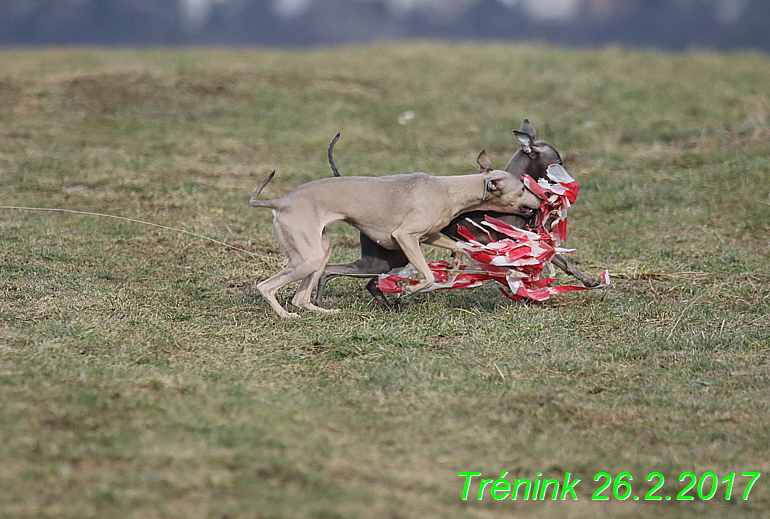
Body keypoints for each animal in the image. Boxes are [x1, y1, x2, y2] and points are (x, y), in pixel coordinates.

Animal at [249, 152, 536, 318]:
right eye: (522, 188)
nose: (540, 199)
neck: (449, 190)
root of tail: (279, 202)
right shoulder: (405, 236)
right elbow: (428, 275)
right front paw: (408, 288)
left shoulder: (427, 236)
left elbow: (457, 247)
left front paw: (454, 265)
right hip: (308, 258)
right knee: (265, 286)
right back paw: (286, 316)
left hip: (320, 251)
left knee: (301, 296)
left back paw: (323, 311)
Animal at [312, 121, 600, 308]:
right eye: (558, 163)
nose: (574, 186)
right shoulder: (499, 245)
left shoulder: (530, 242)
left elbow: (563, 262)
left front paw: (590, 280)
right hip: (384, 257)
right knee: (341, 274)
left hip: (389, 260)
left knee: (367, 282)